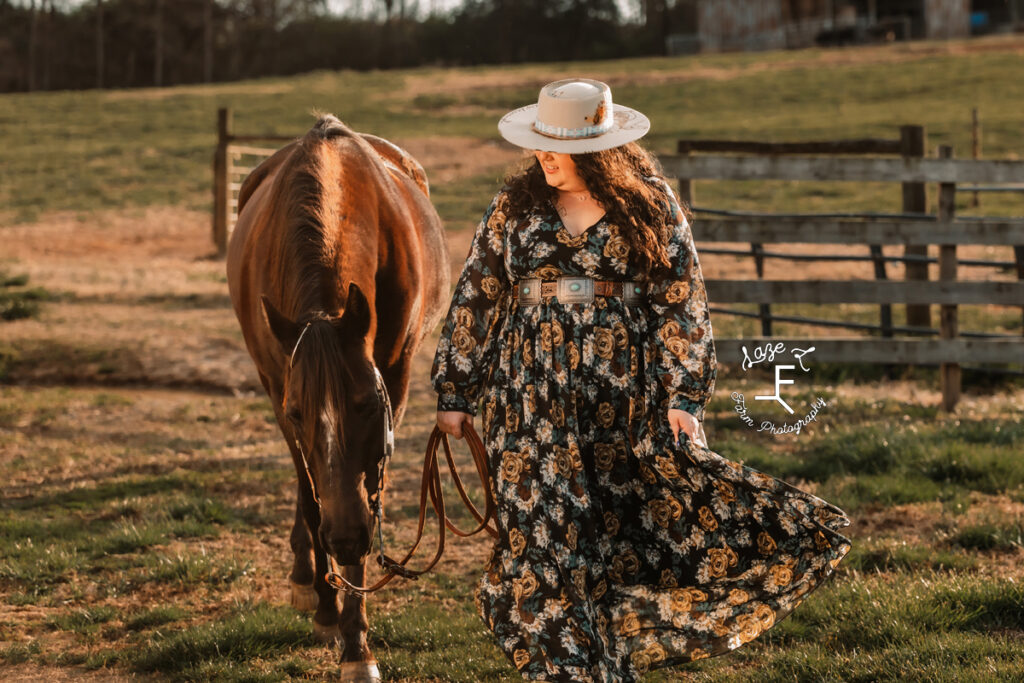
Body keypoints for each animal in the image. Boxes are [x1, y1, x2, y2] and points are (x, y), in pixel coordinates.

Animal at [228, 114, 452, 675]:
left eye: (369, 404)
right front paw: (330, 613)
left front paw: (357, 645)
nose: (344, 536)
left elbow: (368, 496)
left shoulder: (395, 378)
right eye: (296, 412)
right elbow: (313, 499)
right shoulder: (277, 385)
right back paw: (306, 577)